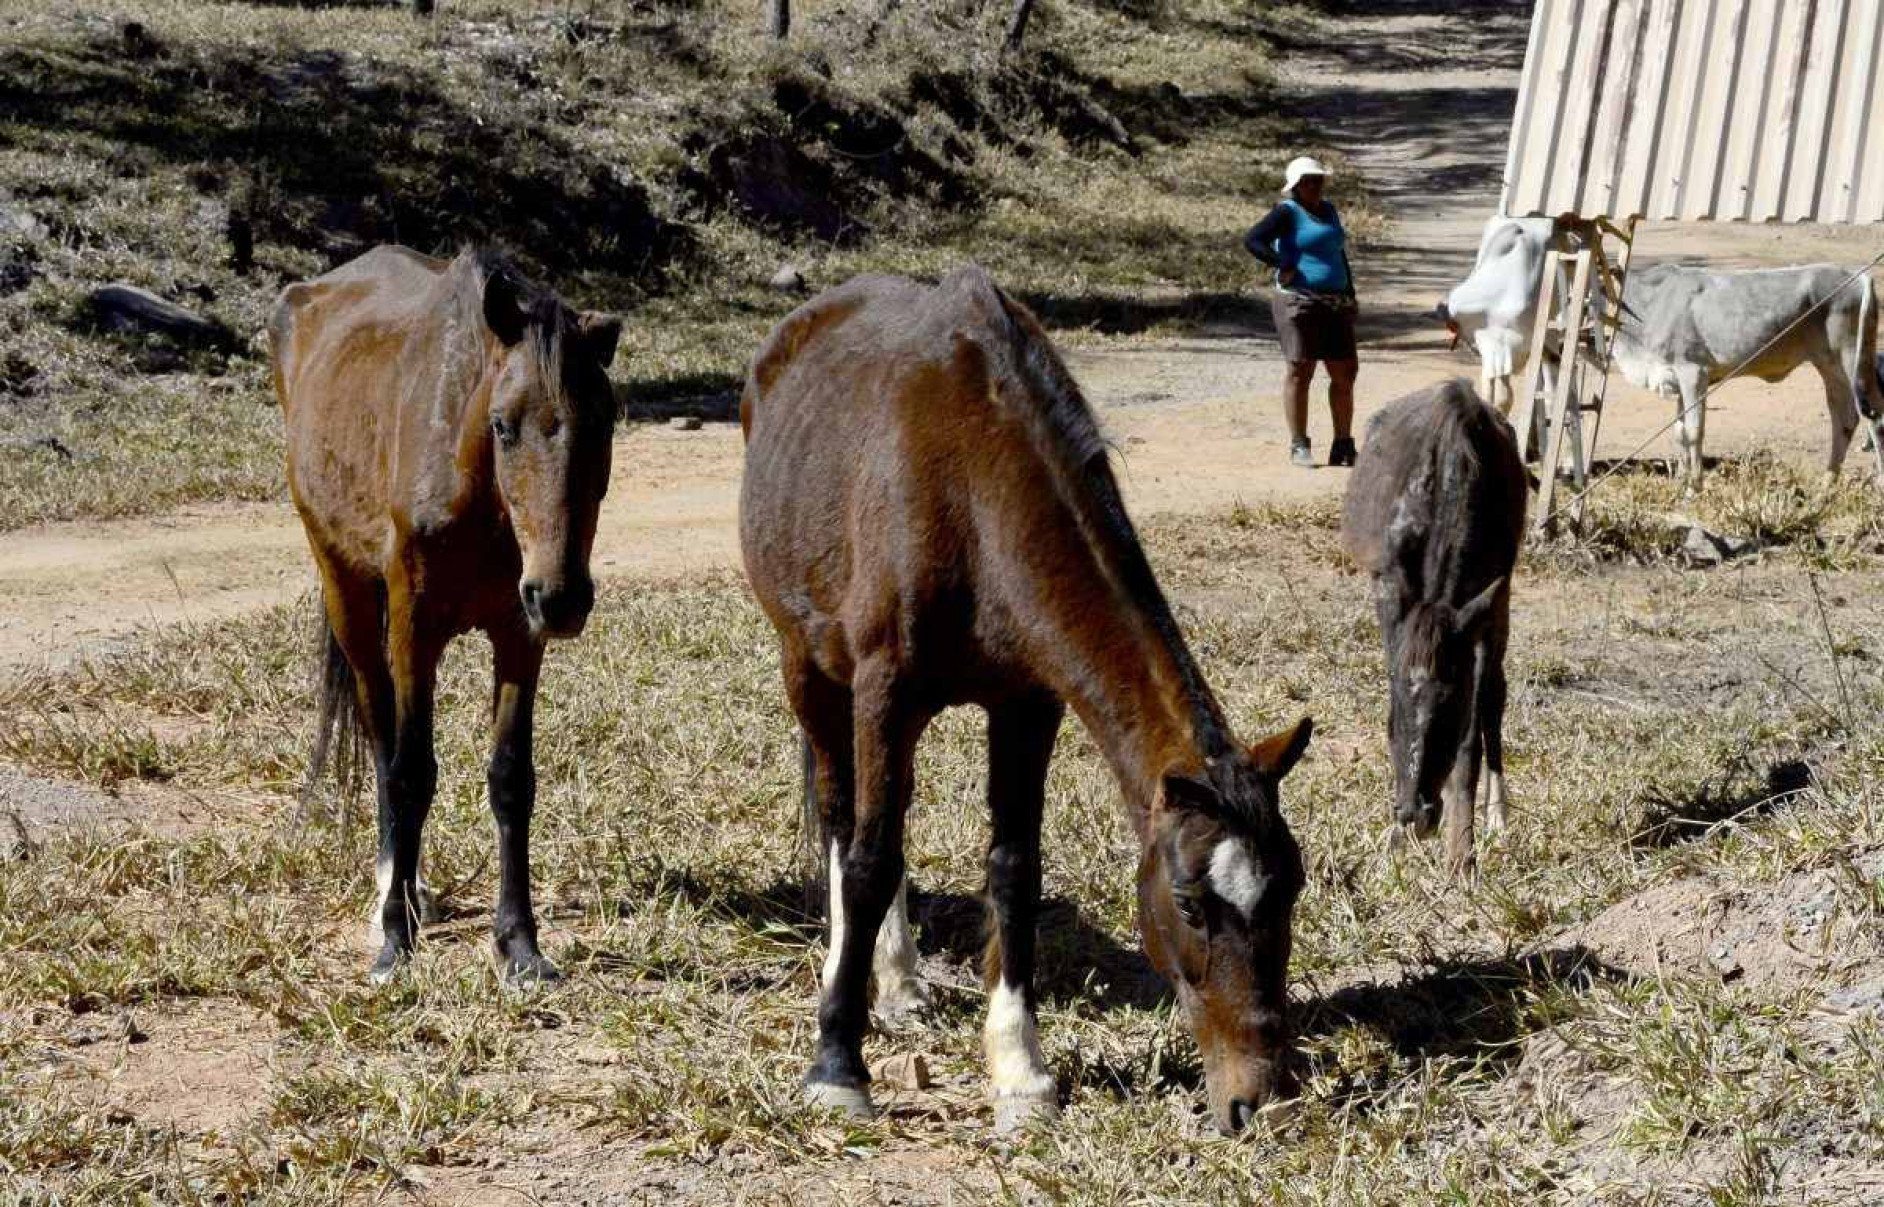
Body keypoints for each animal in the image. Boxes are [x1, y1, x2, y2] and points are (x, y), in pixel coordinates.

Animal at [269, 244, 621, 979]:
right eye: (502, 425)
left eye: (605, 421)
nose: (562, 596)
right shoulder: (414, 629)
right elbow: (409, 771)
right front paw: (394, 939)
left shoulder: (519, 635)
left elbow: (511, 778)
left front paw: (520, 944)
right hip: (346, 591)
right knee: (379, 737)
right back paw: (393, 887)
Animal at [734, 267, 1311, 1137]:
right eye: (1189, 901)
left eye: (1294, 886)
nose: (1259, 1096)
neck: (972, 491)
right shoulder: (883, 691)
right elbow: (868, 861)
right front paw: (837, 1062)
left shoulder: (1028, 704)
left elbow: (1013, 868)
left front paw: (1020, 1067)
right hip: (808, 667)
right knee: (844, 818)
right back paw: (852, 973)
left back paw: (899, 979)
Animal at [1341, 380, 1529, 869]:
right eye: (1397, 712)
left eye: (1450, 707)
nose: (1416, 814)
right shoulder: (1389, 590)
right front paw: (1393, 844)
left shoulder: (1489, 601)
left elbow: (1477, 722)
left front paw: (1462, 853)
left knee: (1495, 698)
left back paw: (1497, 818)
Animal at [1605, 263, 1884, 485]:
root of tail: (1857, 276)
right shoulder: (1677, 378)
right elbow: (1680, 432)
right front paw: (1681, 482)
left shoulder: (1693, 372)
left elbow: (1694, 431)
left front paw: (1693, 488)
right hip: (1831, 366)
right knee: (1845, 418)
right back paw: (1826, 484)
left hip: (1851, 359)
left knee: (1873, 417)